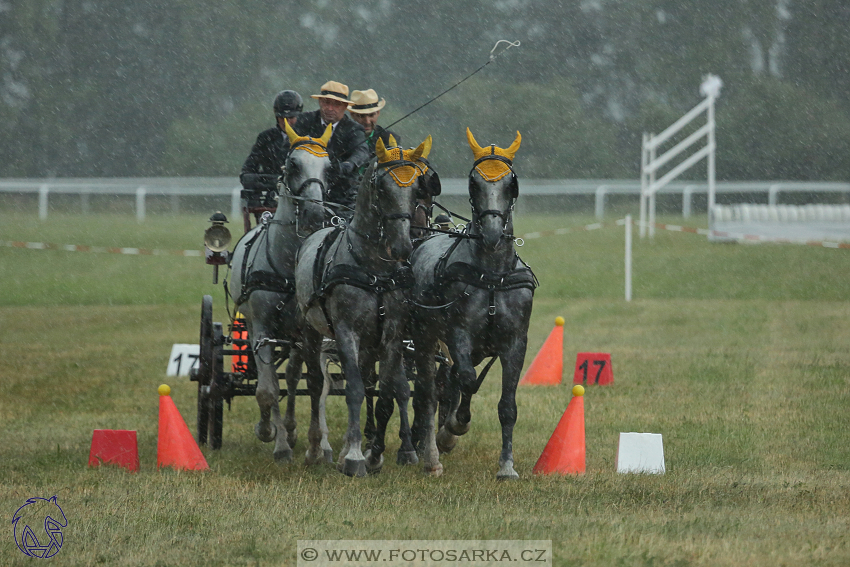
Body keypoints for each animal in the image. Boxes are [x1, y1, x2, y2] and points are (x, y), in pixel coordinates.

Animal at [229, 122, 334, 464]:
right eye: (293, 165)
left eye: (329, 167)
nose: (315, 213)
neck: (290, 264)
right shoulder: (261, 328)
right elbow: (267, 390)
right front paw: (273, 438)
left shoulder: (313, 332)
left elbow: (316, 385)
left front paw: (315, 445)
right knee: (279, 378)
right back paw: (282, 431)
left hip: (300, 336)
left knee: (300, 376)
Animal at [294, 135, 440, 478]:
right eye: (381, 187)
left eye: (417, 188)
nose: (402, 245)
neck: (375, 270)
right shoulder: (346, 331)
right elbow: (355, 391)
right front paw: (355, 458)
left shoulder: (392, 334)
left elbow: (386, 392)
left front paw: (374, 455)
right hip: (310, 329)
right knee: (316, 383)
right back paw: (316, 448)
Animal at [408, 129, 532, 480]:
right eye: (473, 183)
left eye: (511, 183)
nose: (491, 233)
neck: (492, 275)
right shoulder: (458, 333)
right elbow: (465, 379)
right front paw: (452, 428)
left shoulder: (515, 342)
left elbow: (507, 406)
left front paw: (507, 466)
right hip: (424, 338)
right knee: (428, 393)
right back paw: (432, 455)